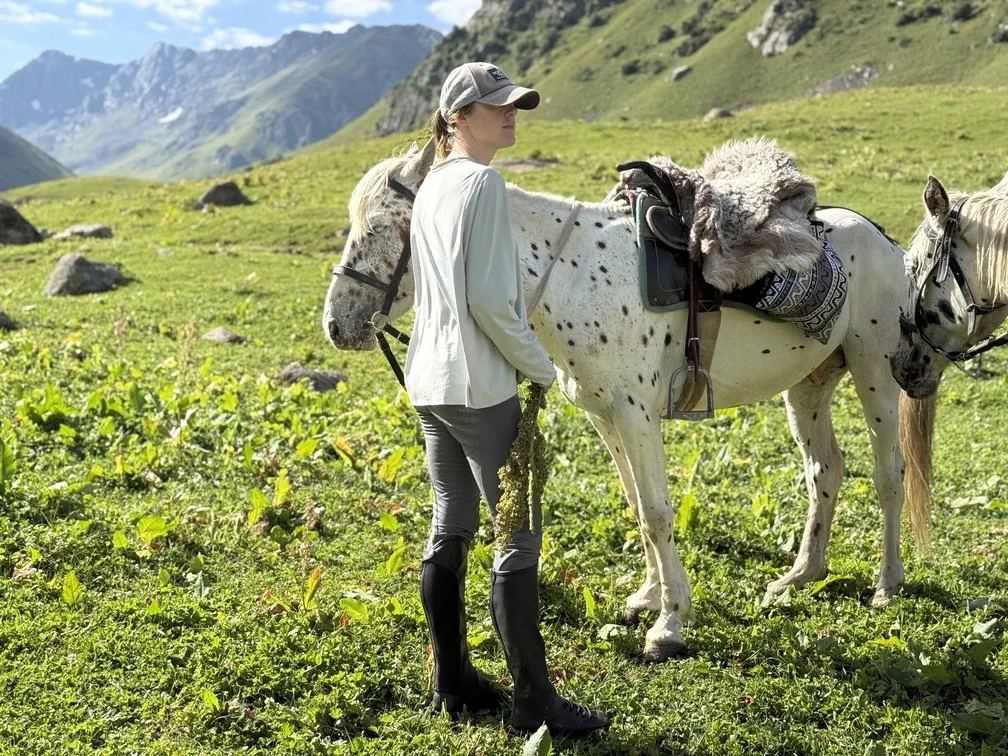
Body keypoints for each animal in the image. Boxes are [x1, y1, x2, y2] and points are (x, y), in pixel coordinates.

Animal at [323, 139, 934, 662]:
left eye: (382, 227)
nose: (336, 324)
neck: (573, 276)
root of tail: (882, 238)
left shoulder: (637, 414)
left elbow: (659, 514)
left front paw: (671, 622)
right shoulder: (605, 416)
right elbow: (638, 507)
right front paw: (648, 597)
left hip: (873, 373)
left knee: (889, 473)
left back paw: (887, 584)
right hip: (808, 383)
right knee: (824, 469)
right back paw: (801, 575)